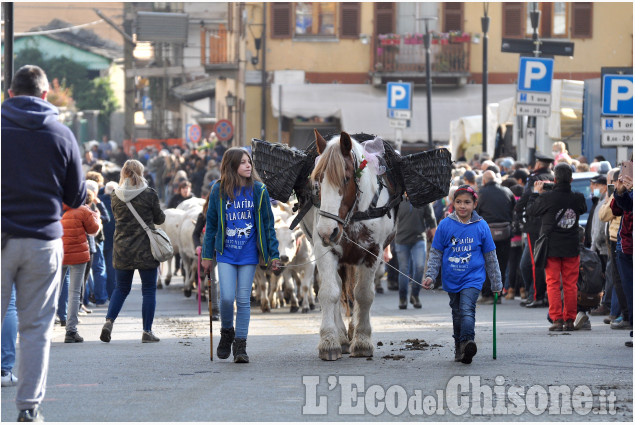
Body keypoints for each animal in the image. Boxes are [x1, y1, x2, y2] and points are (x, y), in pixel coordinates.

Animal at [302, 130, 398, 362]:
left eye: (346, 179)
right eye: (317, 180)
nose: (327, 231)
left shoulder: (372, 252)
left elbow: (363, 294)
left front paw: (362, 340)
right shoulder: (325, 249)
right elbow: (330, 292)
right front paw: (329, 341)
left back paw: (353, 331)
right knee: (339, 290)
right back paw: (342, 336)